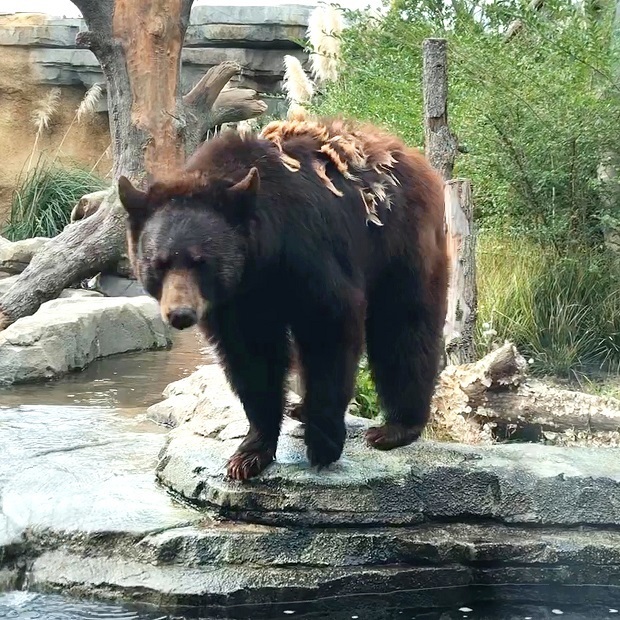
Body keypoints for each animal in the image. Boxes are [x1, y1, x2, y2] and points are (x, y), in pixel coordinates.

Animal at [120, 117, 450, 484]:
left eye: (200, 261)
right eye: (158, 262)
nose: (180, 313)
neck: (261, 259)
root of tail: (407, 152)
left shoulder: (308, 251)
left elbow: (329, 327)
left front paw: (323, 443)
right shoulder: (236, 302)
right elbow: (252, 359)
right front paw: (249, 454)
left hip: (400, 240)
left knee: (403, 325)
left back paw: (396, 427)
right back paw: (301, 408)